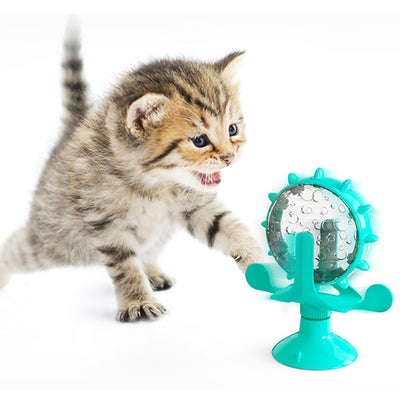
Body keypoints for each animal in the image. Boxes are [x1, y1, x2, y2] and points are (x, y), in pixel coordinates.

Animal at [0, 26, 266, 320]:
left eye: (232, 129)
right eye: (199, 141)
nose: (229, 158)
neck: (155, 185)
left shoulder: (197, 207)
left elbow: (232, 228)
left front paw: (260, 262)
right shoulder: (106, 224)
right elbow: (125, 266)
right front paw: (137, 301)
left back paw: (152, 271)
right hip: (54, 243)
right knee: (17, 248)